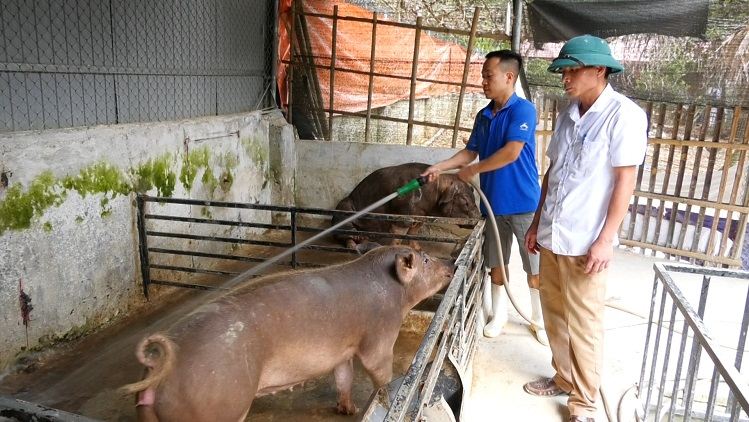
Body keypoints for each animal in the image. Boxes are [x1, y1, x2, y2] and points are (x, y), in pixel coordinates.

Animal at [122, 246, 452, 420]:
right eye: (425, 259)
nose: (450, 263)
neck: (394, 291)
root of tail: (162, 365)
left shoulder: (342, 350)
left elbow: (343, 377)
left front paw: (349, 410)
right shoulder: (379, 331)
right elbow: (379, 368)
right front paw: (383, 397)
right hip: (218, 403)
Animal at [332, 163, 480, 251]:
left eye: (474, 199)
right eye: (465, 201)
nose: (479, 216)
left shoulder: (421, 216)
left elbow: (413, 233)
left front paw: (419, 249)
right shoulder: (403, 215)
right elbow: (398, 234)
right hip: (344, 209)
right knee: (345, 233)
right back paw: (354, 243)